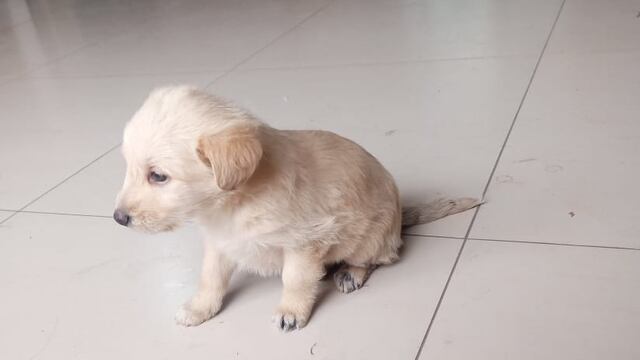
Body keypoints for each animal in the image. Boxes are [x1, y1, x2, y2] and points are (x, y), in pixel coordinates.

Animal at [112, 85, 478, 332]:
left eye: (158, 176)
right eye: (129, 167)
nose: (118, 218)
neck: (233, 203)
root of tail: (401, 216)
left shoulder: (304, 243)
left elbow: (295, 279)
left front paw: (291, 310)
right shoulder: (220, 243)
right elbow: (210, 278)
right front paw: (201, 308)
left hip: (369, 238)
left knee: (377, 259)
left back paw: (350, 273)